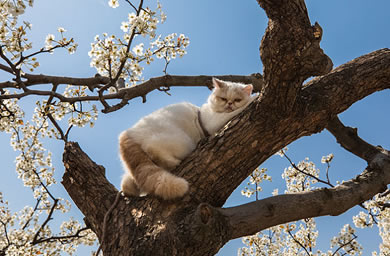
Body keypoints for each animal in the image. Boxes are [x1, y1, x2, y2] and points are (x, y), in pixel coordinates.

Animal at [117, 78, 254, 200]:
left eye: (237, 99)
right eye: (223, 99)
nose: (229, 104)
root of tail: (127, 134)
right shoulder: (213, 122)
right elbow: (237, 110)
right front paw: (254, 97)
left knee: (128, 184)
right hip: (182, 142)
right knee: (153, 149)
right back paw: (175, 162)